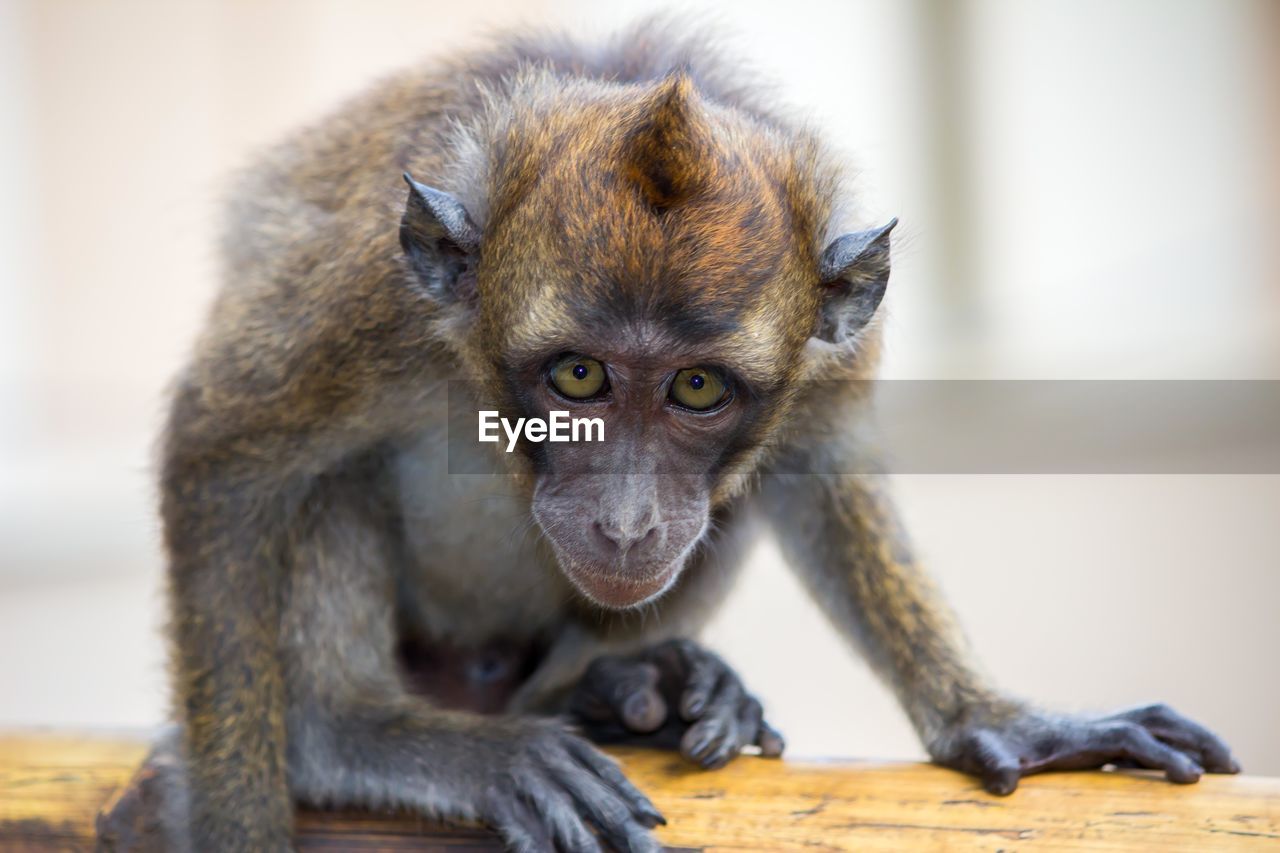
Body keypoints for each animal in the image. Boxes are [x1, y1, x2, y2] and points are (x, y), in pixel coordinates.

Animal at [142, 14, 1239, 850]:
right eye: (578, 375)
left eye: (697, 387)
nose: (627, 524)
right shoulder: (369, 299)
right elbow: (221, 454)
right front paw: (251, 815)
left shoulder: (830, 348)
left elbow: (818, 471)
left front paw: (998, 719)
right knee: (328, 481)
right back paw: (362, 729)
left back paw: (622, 685)